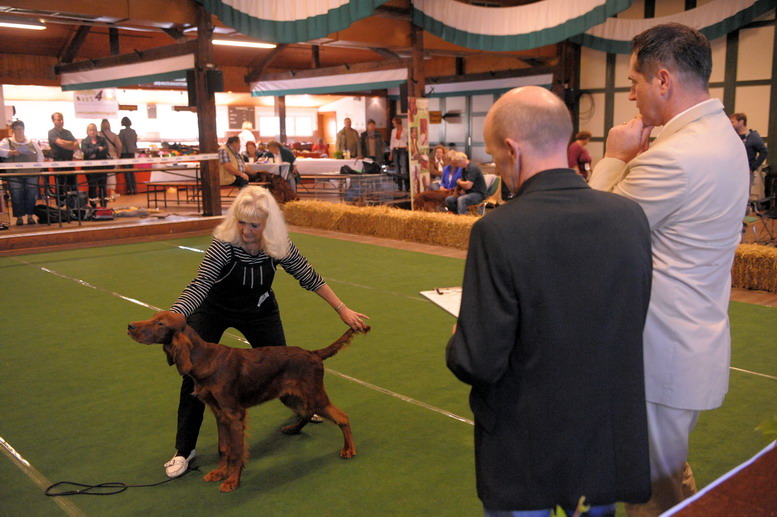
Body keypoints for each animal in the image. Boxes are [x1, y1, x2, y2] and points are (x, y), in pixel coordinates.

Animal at [127, 310, 369, 492]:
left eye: (160, 323)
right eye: (153, 317)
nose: (130, 325)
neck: (204, 359)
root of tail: (314, 353)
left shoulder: (234, 414)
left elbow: (236, 452)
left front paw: (232, 481)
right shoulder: (219, 413)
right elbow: (223, 448)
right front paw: (219, 472)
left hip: (314, 395)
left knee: (342, 417)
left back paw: (349, 449)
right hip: (290, 395)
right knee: (307, 413)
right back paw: (293, 429)